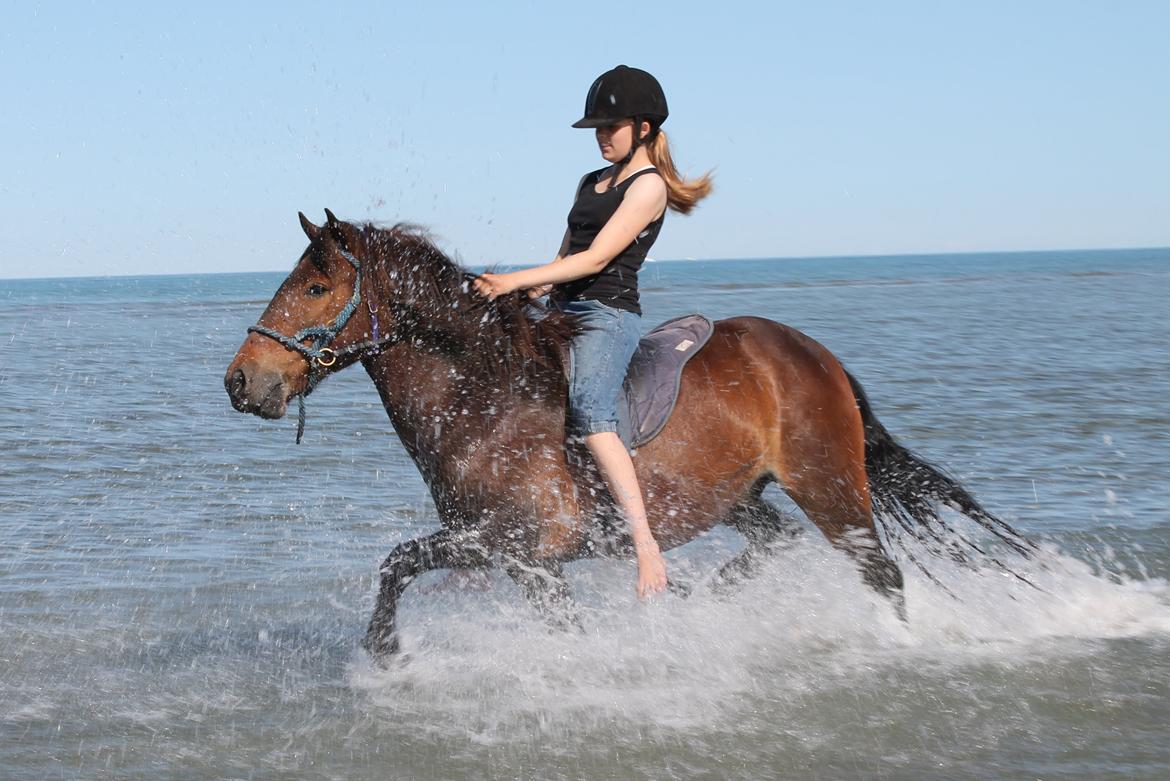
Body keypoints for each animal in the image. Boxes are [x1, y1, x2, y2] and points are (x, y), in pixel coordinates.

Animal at [225, 210, 1034, 654]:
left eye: (316, 287)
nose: (240, 382)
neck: (485, 399)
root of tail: (813, 353)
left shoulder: (514, 548)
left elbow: (401, 565)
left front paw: (388, 654)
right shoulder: (510, 555)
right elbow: (403, 566)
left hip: (830, 486)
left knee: (882, 574)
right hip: (736, 496)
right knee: (775, 544)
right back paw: (705, 601)